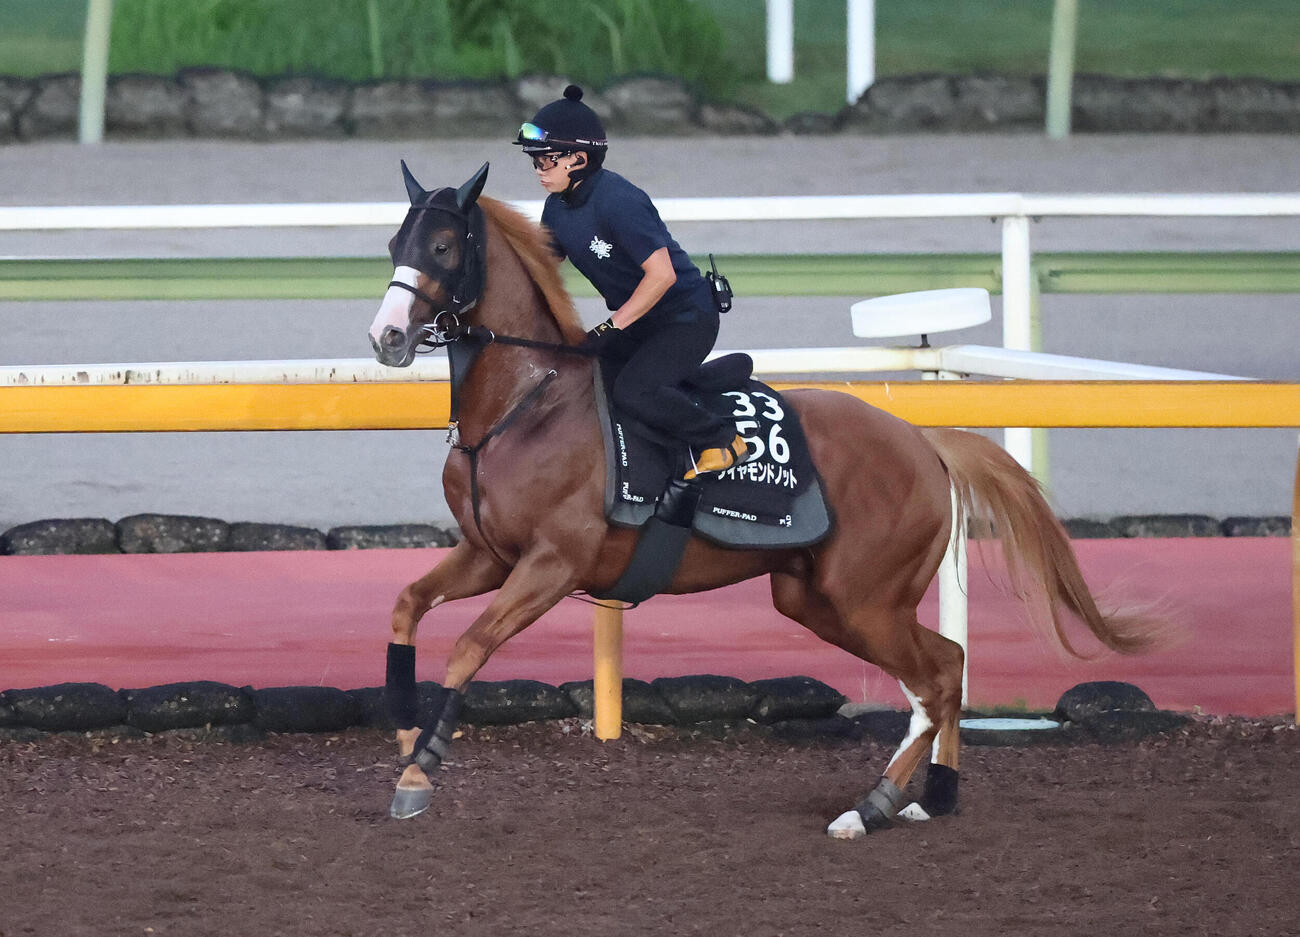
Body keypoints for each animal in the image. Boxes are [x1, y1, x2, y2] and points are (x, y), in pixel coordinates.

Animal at [367, 162, 1163, 838]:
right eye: (395, 243)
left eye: (442, 245)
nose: (387, 337)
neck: (525, 404)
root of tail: (925, 441)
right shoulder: (489, 554)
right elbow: (405, 607)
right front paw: (404, 732)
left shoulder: (552, 563)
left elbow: (469, 647)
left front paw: (420, 771)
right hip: (819, 597)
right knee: (949, 659)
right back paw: (932, 793)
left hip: (864, 597)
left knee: (937, 675)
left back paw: (869, 807)